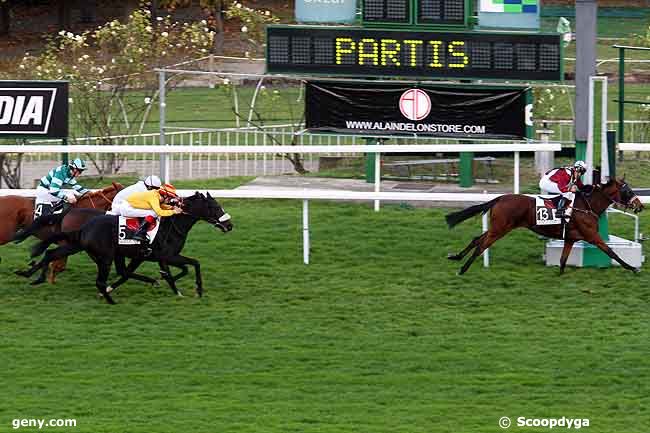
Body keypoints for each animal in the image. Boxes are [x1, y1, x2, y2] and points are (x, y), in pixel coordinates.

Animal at [18, 192, 233, 304]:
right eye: (215, 207)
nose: (229, 225)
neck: (172, 226)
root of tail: (84, 226)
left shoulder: (152, 256)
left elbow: (172, 272)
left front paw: (172, 287)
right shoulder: (166, 255)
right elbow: (194, 264)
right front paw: (198, 290)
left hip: (77, 245)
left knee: (50, 253)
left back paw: (32, 275)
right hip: (103, 255)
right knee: (97, 277)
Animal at [446, 178, 644, 274]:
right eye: (627, 191)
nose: (640, 205)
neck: (587, 206)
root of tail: (500, 198)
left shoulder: (571, 238)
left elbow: (563, 260)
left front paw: (560, 275)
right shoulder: (592, 236)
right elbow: (611, 252)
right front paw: (633, 268)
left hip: (497, 227)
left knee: (476, 239)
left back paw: (456, 257)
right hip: (500, 229)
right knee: (481, 245)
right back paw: (463, 269)